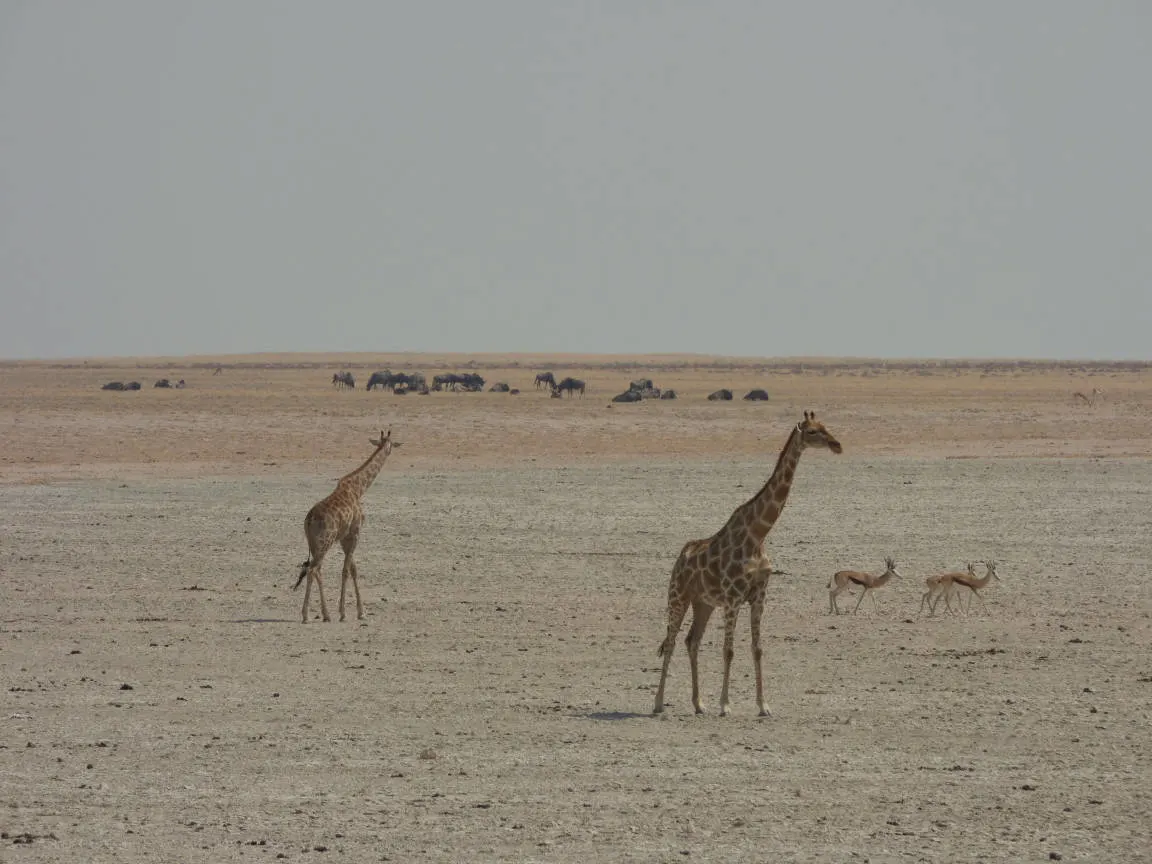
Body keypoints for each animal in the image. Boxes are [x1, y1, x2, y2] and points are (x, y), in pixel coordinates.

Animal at [294, 430, 398, 622]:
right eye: (391, 444)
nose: (389, 451)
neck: (358, 489)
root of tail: (309, 519)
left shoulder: (344, 537)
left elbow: (353, 569)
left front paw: (360, 611)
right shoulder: (355, 532)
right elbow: (346, 571)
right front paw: (345, 613)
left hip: (314, 543)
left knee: (315, 569)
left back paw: (324, 614)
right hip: (325, 541)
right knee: (313, 569)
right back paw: (308, 615)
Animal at [654, 412, 843, 718]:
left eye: (826, 427)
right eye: (813, 432)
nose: (837, 445)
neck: (758, 534)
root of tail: (680, 558)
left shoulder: (758, 596)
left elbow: (757, 648)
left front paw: (763, 705)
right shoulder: (733, 597)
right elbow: (728, 650)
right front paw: (725, 705)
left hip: (703, 603)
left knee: (692, 641)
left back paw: (698, 704)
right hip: (678, 596)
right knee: (670, 641)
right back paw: (658, 703)